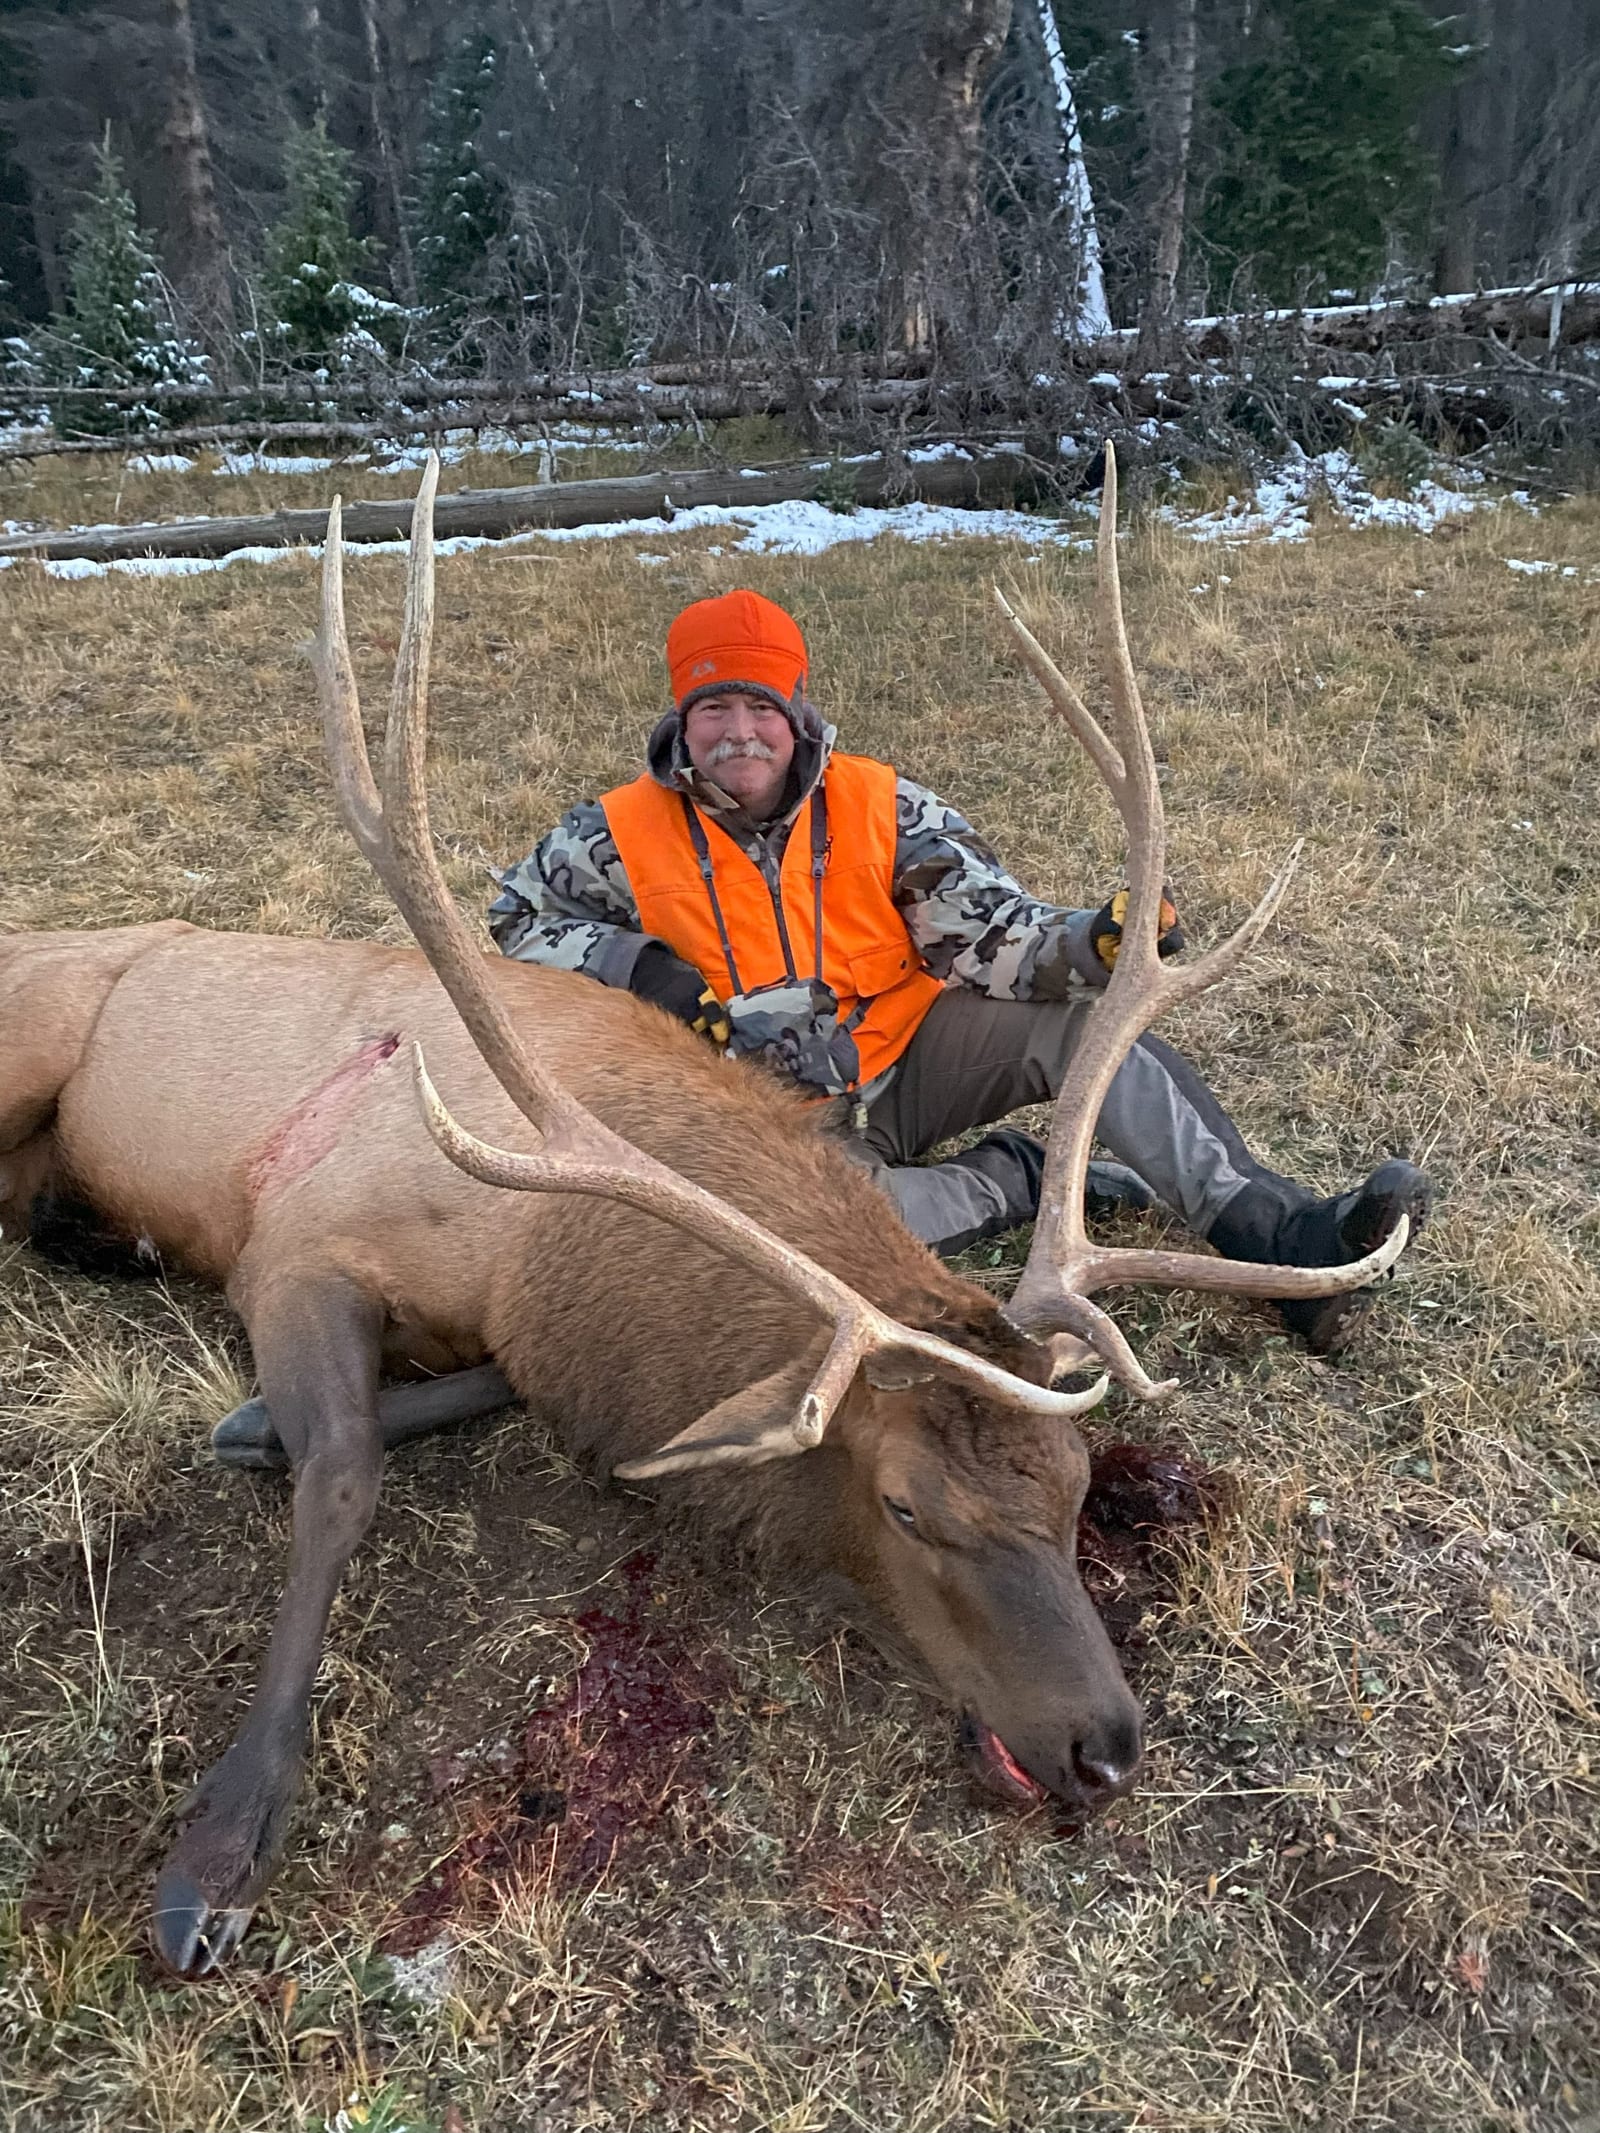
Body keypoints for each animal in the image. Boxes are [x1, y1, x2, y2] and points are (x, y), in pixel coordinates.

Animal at [0, 448, 1407, 1976]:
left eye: (1077, 1479)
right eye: (905, 1507)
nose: (1106, 1745)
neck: (540, 1248)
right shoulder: (302, 1235)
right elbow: (343, 1472)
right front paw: (219, 1851)